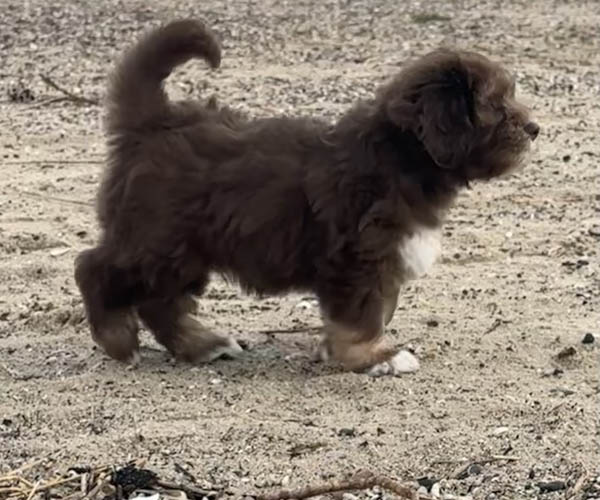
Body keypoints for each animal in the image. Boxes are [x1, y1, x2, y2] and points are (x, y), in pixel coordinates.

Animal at [74, 19, 539, 376]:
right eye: (495, 104)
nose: (534, 128)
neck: (401, 155)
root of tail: (154, 122)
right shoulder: (358, 257)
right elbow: (363, 314)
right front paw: (375, 356)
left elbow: (377, 308)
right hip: (159, 240)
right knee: (95, 268)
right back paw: (119, 340)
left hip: (183, 252)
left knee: (160, 302)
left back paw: (201, 345)